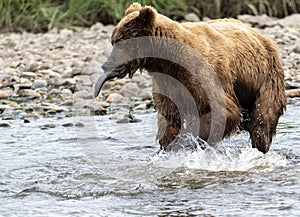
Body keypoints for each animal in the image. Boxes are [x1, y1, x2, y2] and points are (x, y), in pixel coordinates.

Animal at [94, 2, 286, 153]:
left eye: (119, 43)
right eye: (113, 41)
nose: (106, 65)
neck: (167, 61)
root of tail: (261, 36)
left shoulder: (203, 75)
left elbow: (221, 110)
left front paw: (186, 142)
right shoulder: (168, 83)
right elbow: (170, 117)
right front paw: (168, 146)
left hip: (267, 77)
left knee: (262, 118)